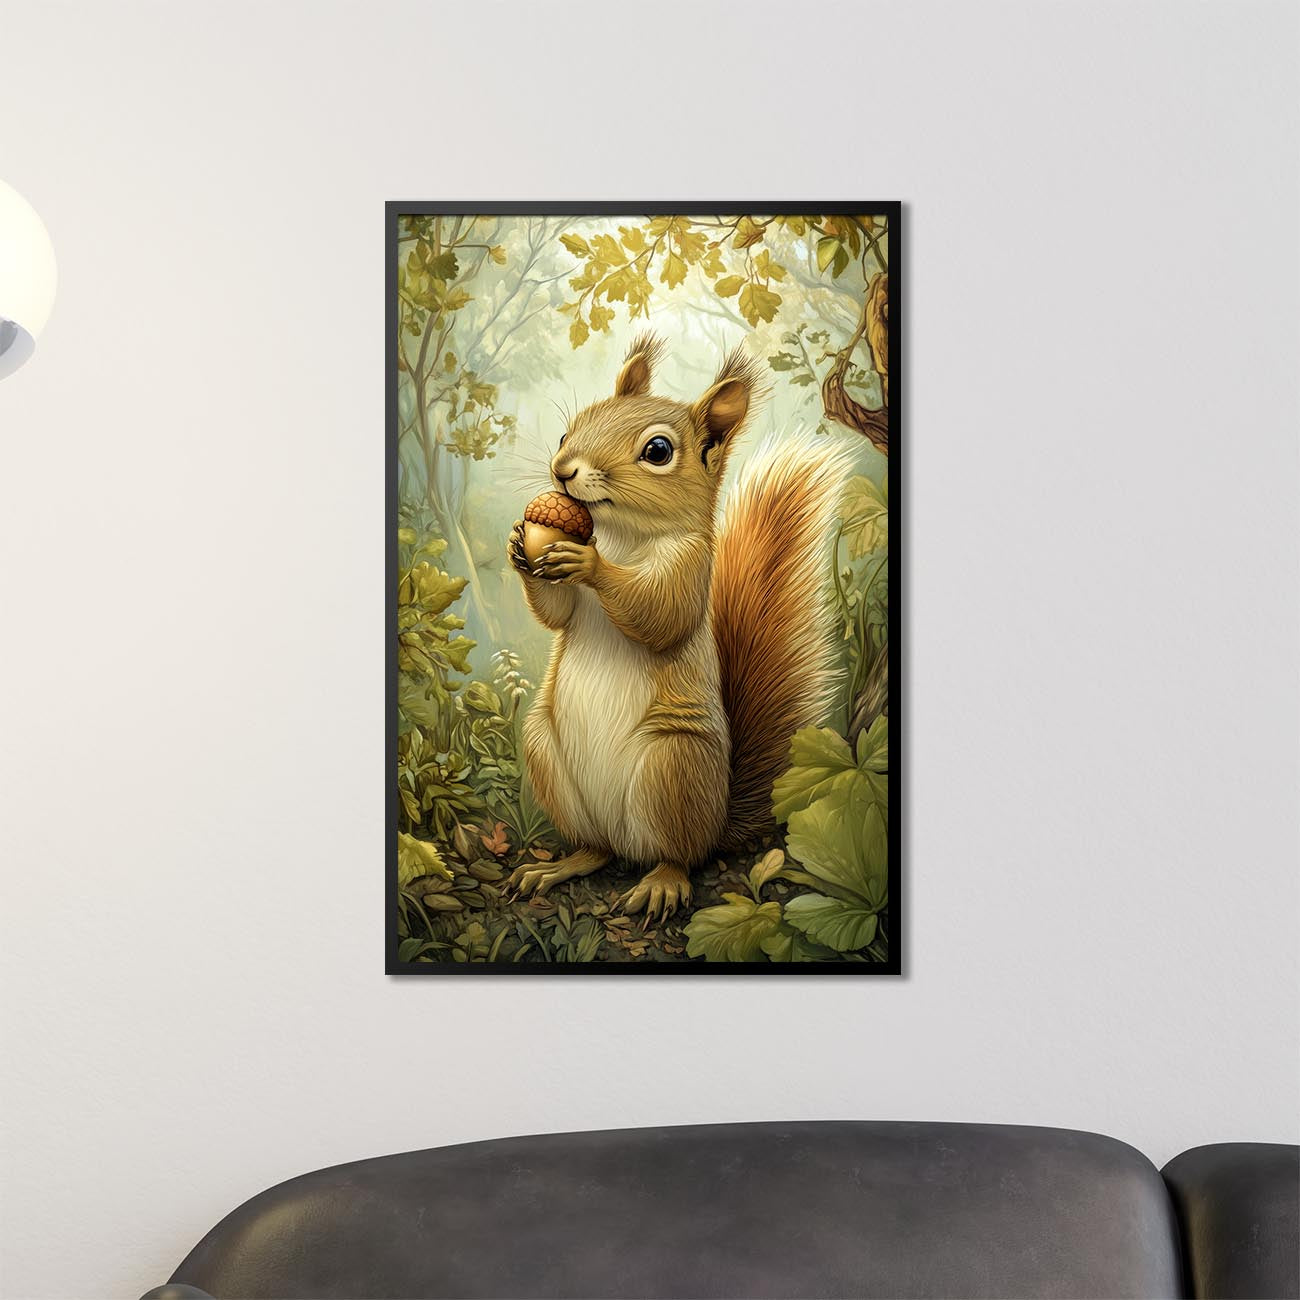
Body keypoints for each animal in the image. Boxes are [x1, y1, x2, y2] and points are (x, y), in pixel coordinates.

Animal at [505, 332, 852, 920]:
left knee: (678, 855)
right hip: (546, 755)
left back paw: (661, 883)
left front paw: (590, 564)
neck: (619, 535)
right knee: (596, 849)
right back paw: (559, 867)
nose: (562, 469)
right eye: (568, 429)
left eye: (658, 451)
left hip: (672, 769)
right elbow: (557, 613)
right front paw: (519, 546)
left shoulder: (690, 569)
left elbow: (659, 615)